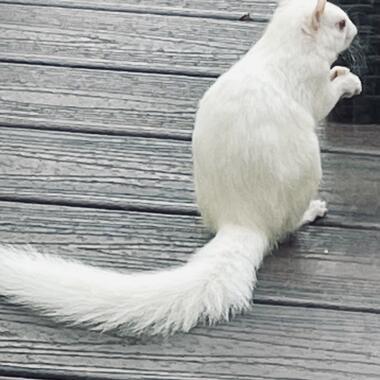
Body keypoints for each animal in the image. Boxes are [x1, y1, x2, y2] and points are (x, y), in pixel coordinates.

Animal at [0, 1, 362, 336]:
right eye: (340, 23)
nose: (356, 31)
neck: (285, 44)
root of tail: (243, 220)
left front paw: (340, 73)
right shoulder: (310, 83)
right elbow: (324, 99)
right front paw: (348, 81)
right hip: (304, 174)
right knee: (288, 226)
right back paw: (311, 211)